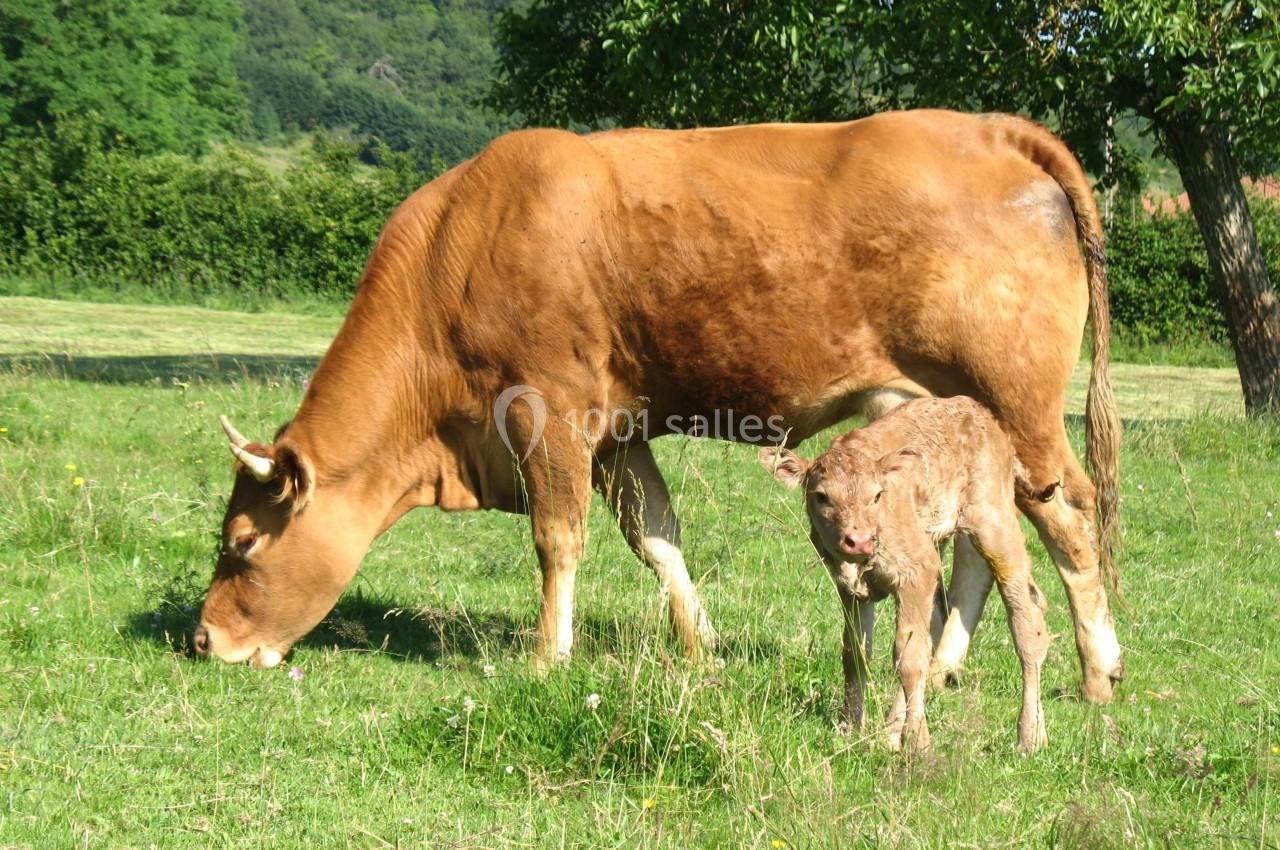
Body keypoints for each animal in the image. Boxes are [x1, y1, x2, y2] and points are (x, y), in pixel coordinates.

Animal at [193, 109, 1123, 703]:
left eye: (241, 545)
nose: (202, 640)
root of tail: (993, 128)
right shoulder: (617, 432)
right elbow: (657, 538)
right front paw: (701, 643)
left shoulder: (547, 412)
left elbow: (557, 538)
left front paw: (547, 658)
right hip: (953, 413)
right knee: (979, 539)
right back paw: (945, 663)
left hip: (1020, 404)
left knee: (1070, 518)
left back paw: (1097, 669)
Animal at [761, 396, 1053, 752]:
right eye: (821, 496)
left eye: (877, 495)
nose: (858, 540)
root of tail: (982, 415)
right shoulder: (851, 588)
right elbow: (856, 653)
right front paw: (850, 727)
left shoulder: (916, 573)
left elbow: (908, 656)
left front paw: (918, 741)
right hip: (937, 543)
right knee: (935, 623)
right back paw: (890, 731)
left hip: (995, 528)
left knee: (1027, 620)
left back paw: (1030, 735)